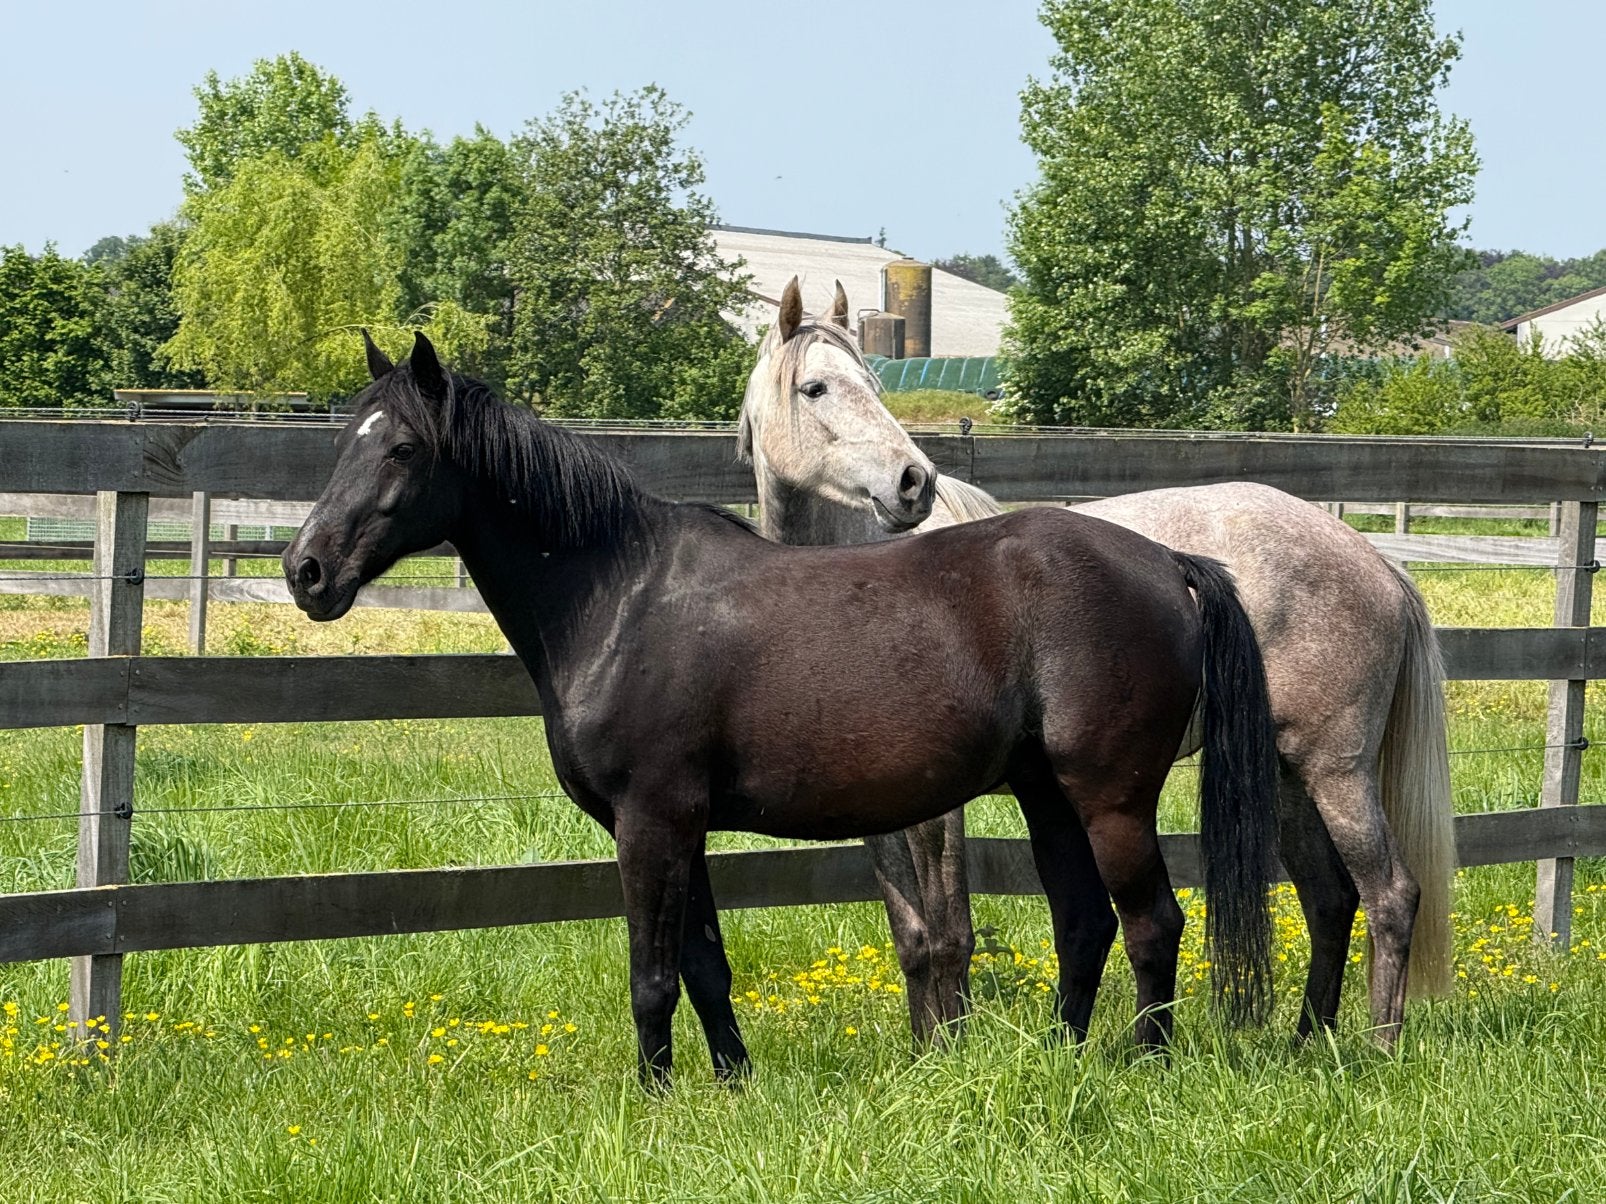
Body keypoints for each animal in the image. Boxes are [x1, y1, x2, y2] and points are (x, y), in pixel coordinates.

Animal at [285, 331, 1281, 1085]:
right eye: (343, 445)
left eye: (403, 449)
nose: (307, 572)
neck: (621, 594)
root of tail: (1169, 563)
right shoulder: (681, 827)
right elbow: (704, 967)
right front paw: (733, 1084)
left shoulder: (650, 823)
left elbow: (652, 976)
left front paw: (654, 1099)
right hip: (1047, 795)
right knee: (1083, 923)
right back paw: (1061, 1061)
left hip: (1112, 799)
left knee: (1152, 925)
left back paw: (1144, 1066)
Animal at [737, 278, 1456, 1049]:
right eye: (814, 387)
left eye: (873, 384)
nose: (911, 483)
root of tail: (1375, 563)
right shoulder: (880, 811)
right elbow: (912, 937)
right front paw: (925, 1050)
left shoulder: (942, 813)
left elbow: (950, 934)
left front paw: (950, 1051)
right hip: (1288, 772)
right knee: (1330, 898)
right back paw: (1307, 1044)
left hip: (1336, 770)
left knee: (1390, 894)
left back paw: (1379, 1047)